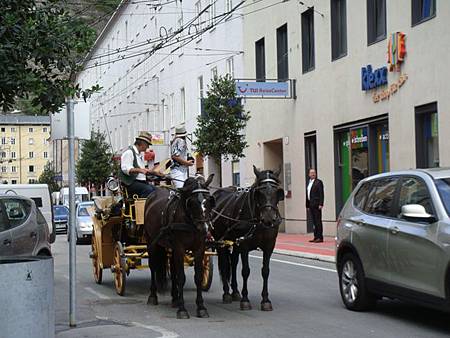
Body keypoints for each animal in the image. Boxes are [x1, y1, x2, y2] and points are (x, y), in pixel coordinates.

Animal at [144, 174, 214, 320]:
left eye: (209, 201)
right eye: (191, 202)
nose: (204, 228)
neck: (189, 221)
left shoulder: (199, 249)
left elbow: (198, 277)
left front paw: (201, 307)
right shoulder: (180, 249)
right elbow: (181, 277)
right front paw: (182, 309)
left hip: (171, 247)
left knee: (172, 268)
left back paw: (175, 298)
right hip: (151, 242)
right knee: (153, 267)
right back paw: (153, 296)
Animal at [212, 166, 284, 312]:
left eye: (277, 192)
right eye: (259, 192)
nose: (268, 219)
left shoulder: (269, 246)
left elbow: (265, 271)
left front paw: (265, 300)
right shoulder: (244, 245)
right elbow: (245, 271)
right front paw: (245, 300)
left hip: (234, 243)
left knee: (233, 263)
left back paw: (235, 292)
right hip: (220, 241)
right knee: (224, 263)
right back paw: (227, 293)